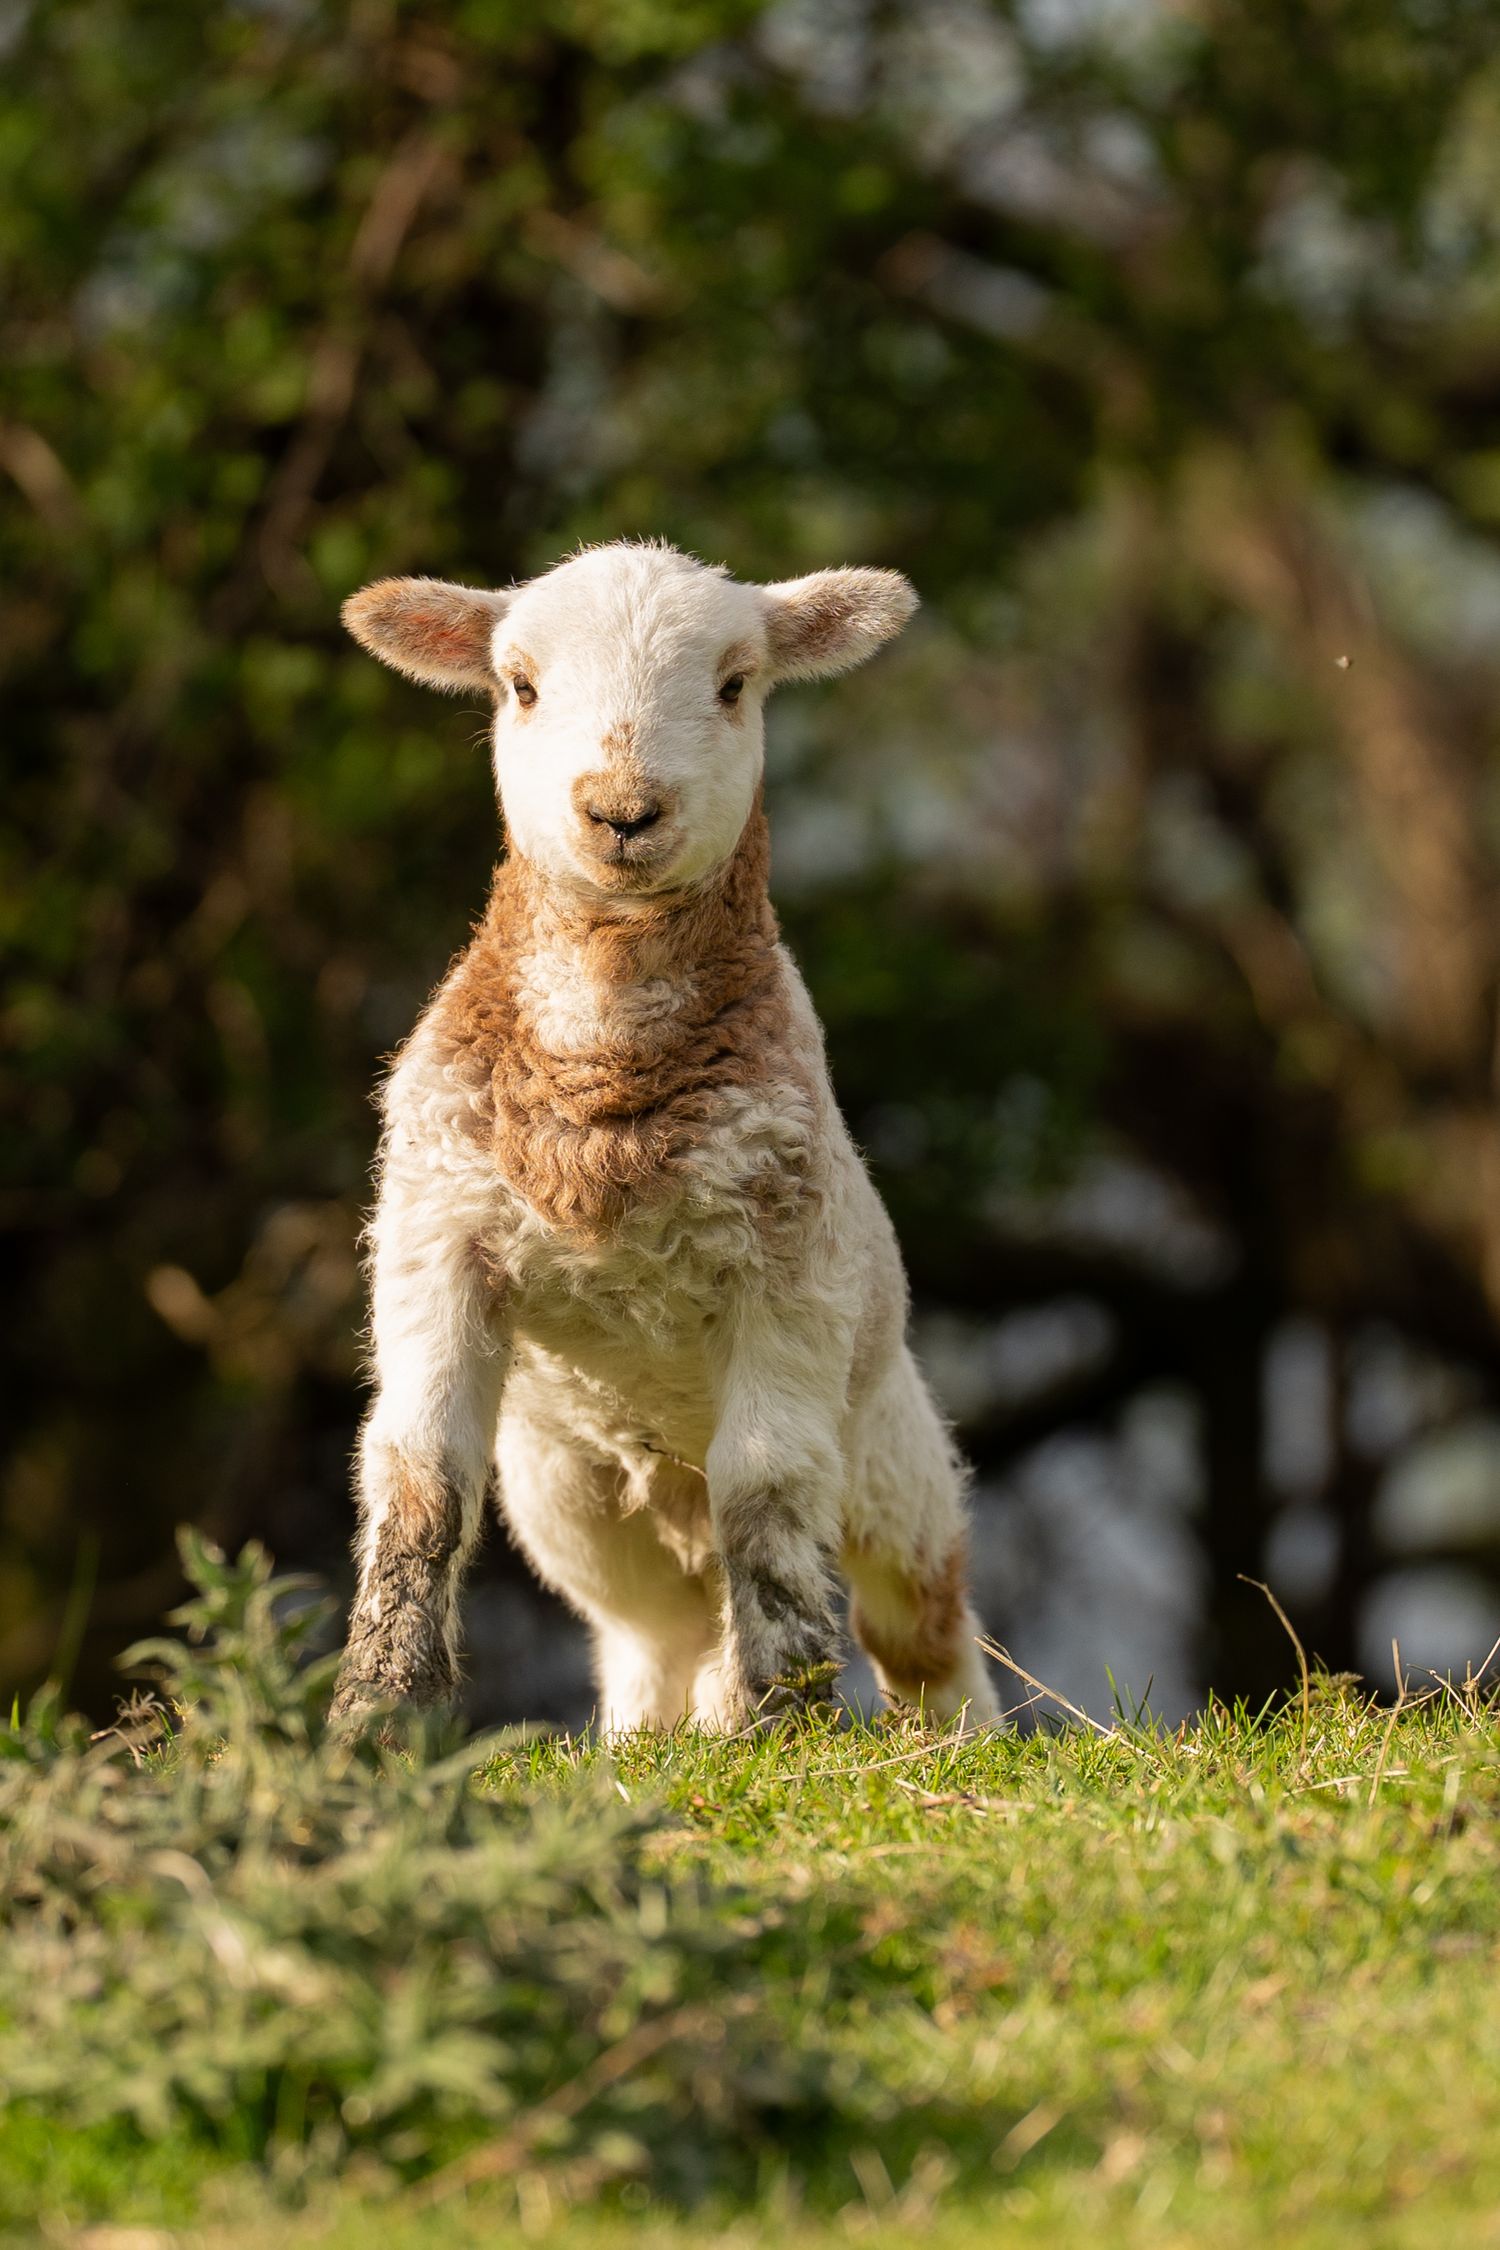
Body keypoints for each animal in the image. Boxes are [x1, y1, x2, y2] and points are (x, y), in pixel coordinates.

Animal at [330, 540, 998, 1732]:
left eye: (735, 685)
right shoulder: (437, 1235)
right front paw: (377, 1711)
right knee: (650, 1633)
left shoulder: (787, 1263)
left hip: (889, 1449)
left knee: (916, 1622)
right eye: (520, 685)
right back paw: (649, 1740)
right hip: (573, 1495)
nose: (623, 812)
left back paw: (944, 1742)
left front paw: (787, 1718)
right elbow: (420, 1477)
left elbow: (767, 1487)